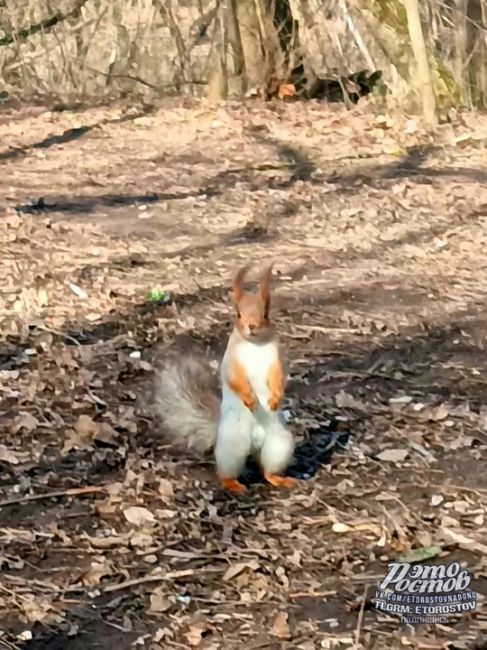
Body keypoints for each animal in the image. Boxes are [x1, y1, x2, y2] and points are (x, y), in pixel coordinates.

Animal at [153, 260, 298, 494]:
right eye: (238, 314)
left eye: (265, 313)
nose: (252, 326)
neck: (255, 345)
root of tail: (255, 444)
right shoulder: (231, 362)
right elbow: (235, 379)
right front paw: (250, 399)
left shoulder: (275, 359)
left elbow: (277, 376)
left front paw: (275, 398)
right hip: (233, 445)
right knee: (226, 472)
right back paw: (233, 484)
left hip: (279, 445)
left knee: (267, 470)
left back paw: (280, 479)